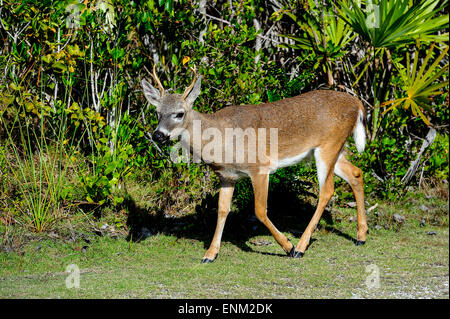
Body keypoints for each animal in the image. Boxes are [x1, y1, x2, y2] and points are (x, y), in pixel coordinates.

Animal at [142, 66, 370, 264]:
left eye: (179, 113)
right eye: (157, 112)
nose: (158, 135)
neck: (220, 138)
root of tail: (358, 104)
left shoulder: (260, 167)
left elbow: (260, 210)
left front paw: (288, 247)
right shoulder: (227, 176)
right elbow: (222, 210)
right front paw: (210, 254)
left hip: (328, 146)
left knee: (327, 190)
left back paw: (301, 247)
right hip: (330, 151)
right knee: (356, 173)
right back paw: (361, 236)